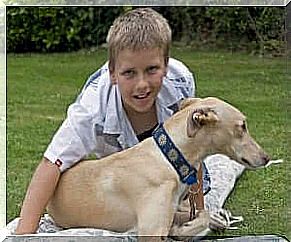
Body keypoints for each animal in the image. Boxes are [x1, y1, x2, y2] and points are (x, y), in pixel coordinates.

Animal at [46, 98, 270, 240]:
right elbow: (193, 222)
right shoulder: (150, 231)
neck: (168, 159)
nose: (267, 158)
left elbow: (201, 215)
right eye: (242, 126)